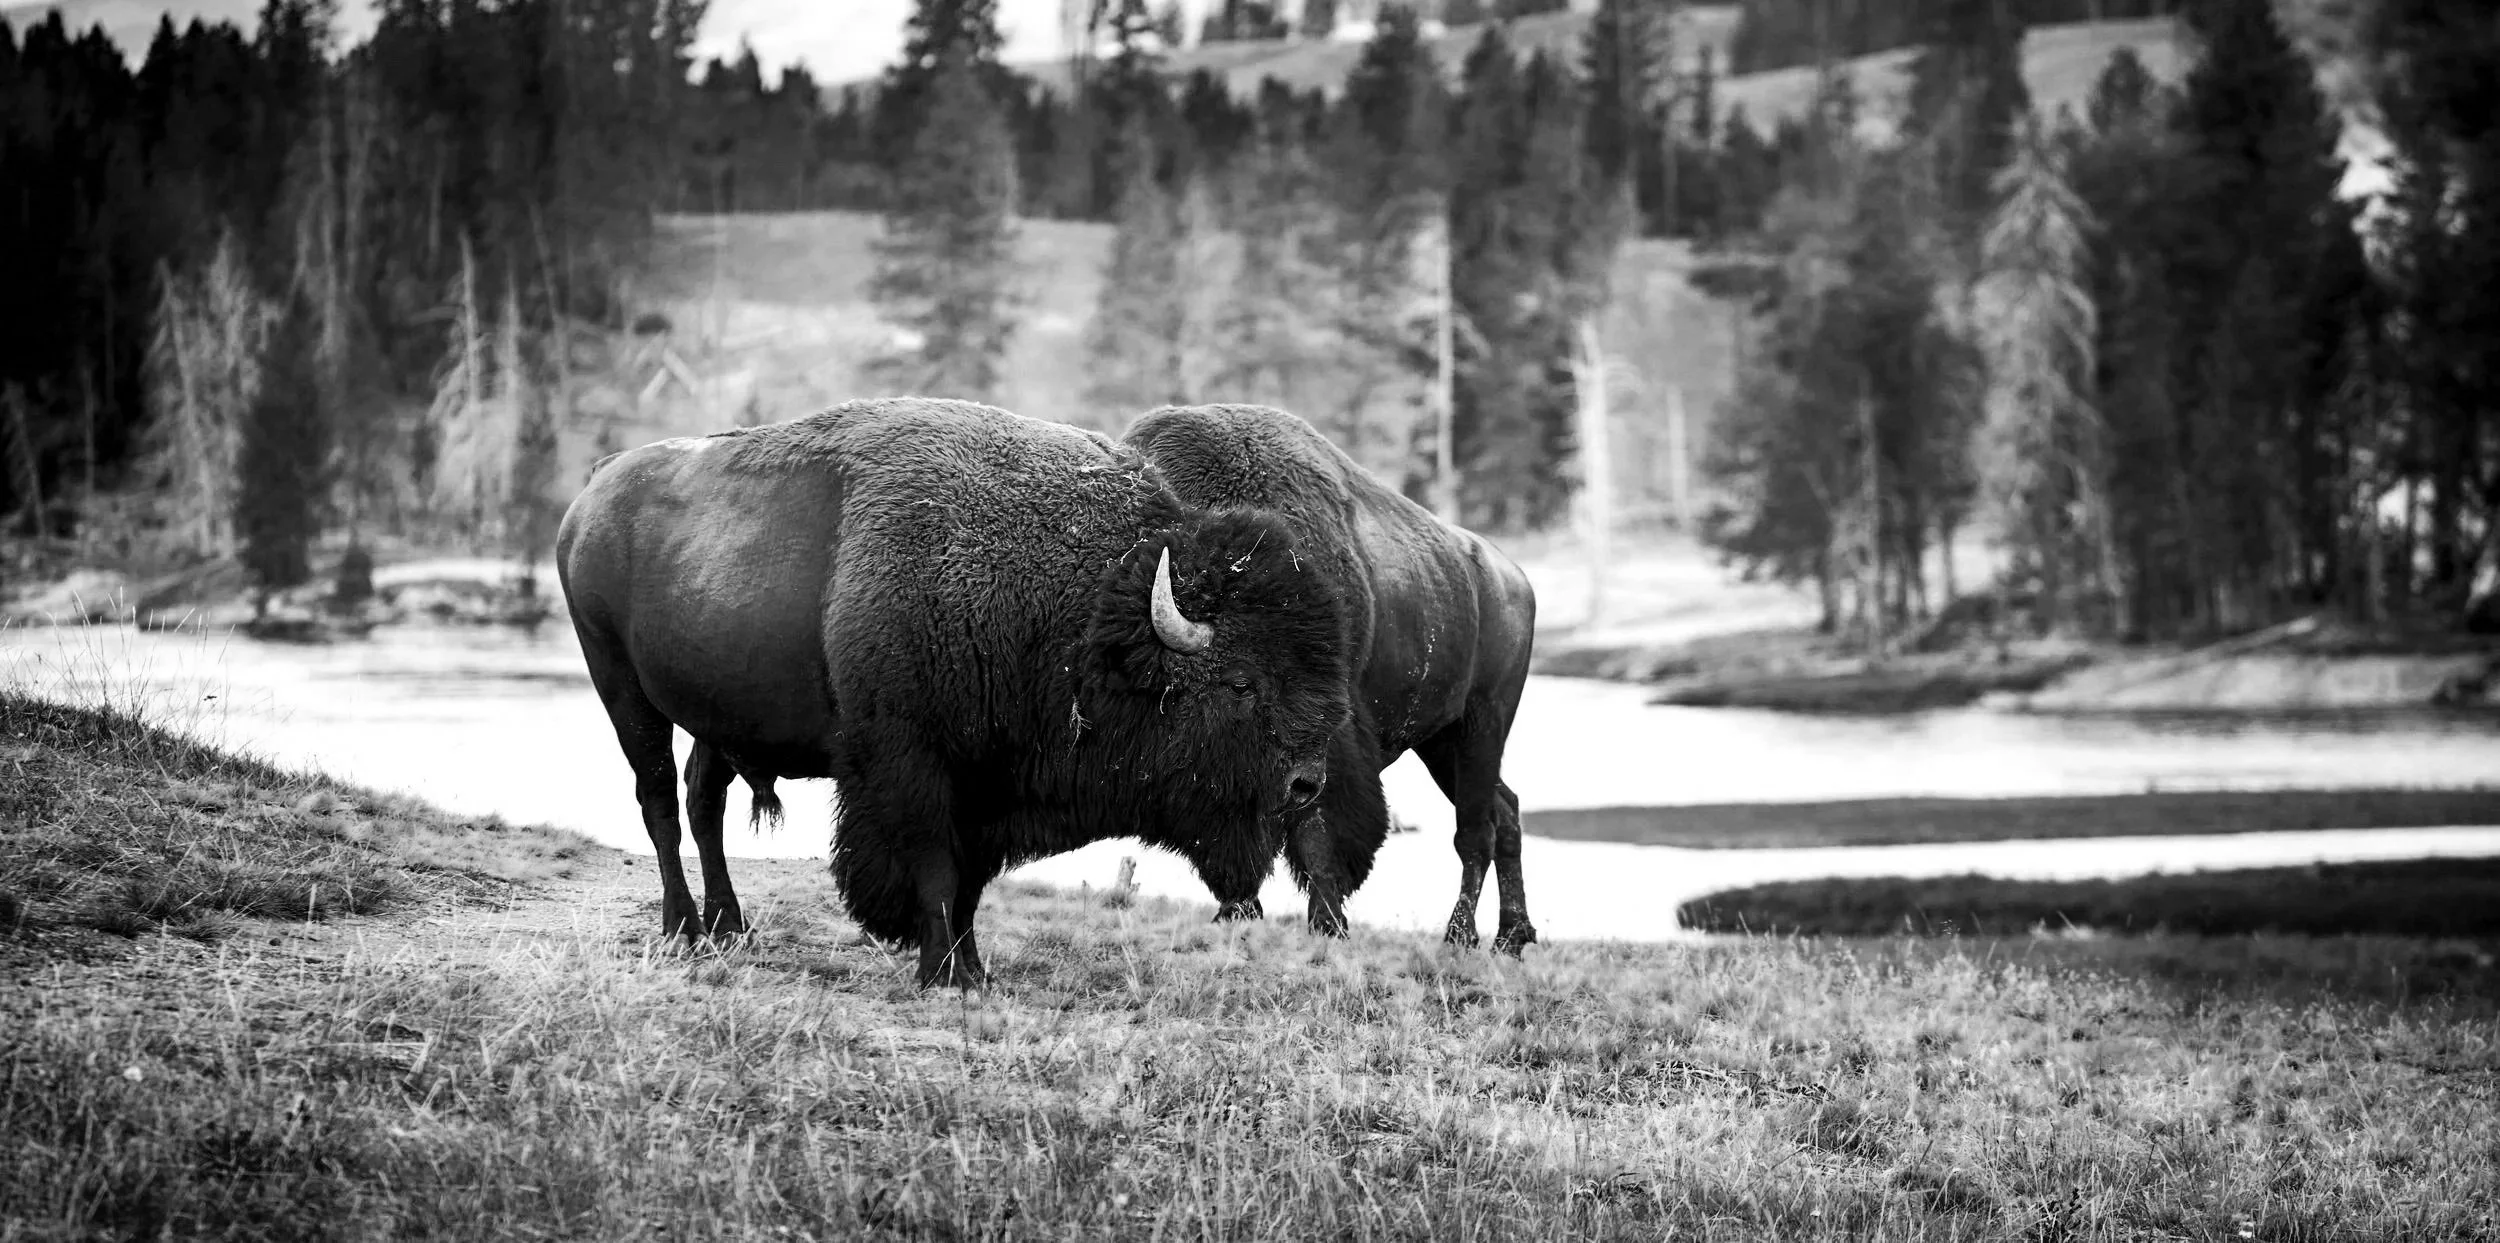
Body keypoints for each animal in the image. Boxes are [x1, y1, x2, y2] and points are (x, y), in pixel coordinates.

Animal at [556, 397, 1353, 987]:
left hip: (716, 720)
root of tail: (594, 487)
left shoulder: (987, 788)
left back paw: (730, 927)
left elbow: (968, 883)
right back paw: (685, 929)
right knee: (659, 801)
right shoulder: (915, 770)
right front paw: (946, 973)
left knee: (703, 799)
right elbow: (937, 872)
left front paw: (972, 967)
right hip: (622, 690)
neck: (1083, 610)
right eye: (1242, 682)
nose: (1307, 782)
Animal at [1122, 403, 1540, 954]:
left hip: (1482, 726)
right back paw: (1512, 936)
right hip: (1440, 742)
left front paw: (1328, 925)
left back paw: (1461, 935)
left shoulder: (1323, 739)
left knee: (1475, 831)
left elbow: (1317, 827)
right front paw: (1236, 914)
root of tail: (1514, 578)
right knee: (1506, 810)